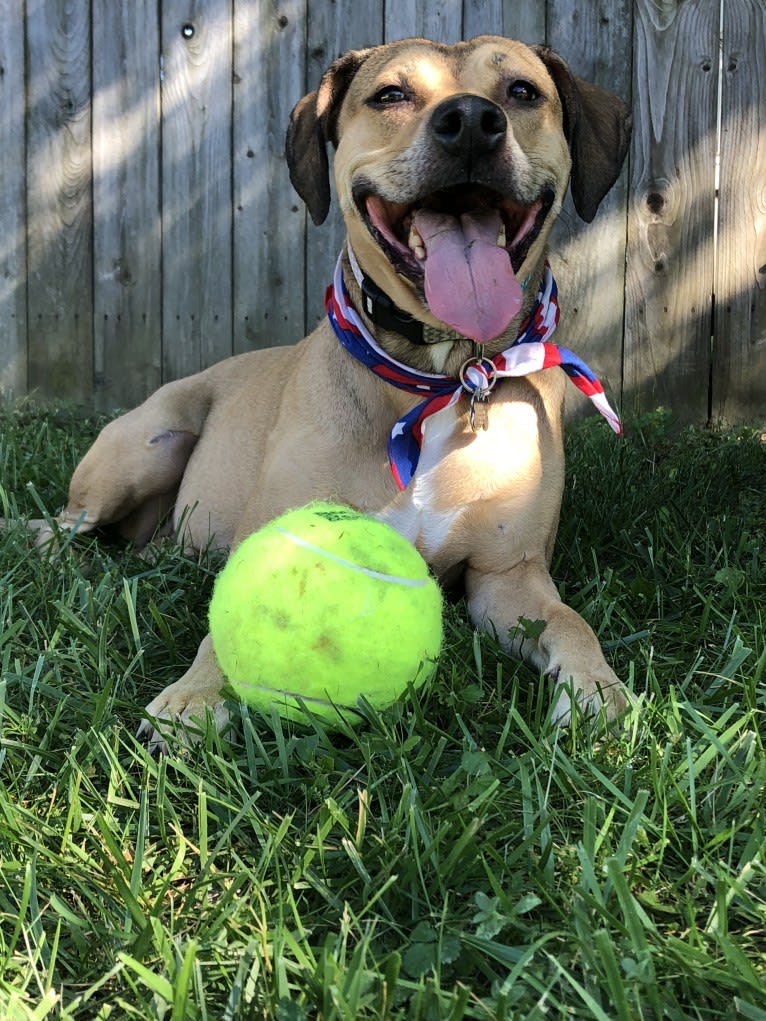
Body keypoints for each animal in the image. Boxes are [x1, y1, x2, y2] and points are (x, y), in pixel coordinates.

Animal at [27, 37, 633, 743]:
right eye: (391, 94)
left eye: (522, 92)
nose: (471, 123)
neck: (443, 374)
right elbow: (223, 631)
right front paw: (192, 700)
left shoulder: (508, 577)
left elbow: (570, 622)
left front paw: (599, 693)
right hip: (145, 444)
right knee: (67, 522)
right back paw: (45, 546)